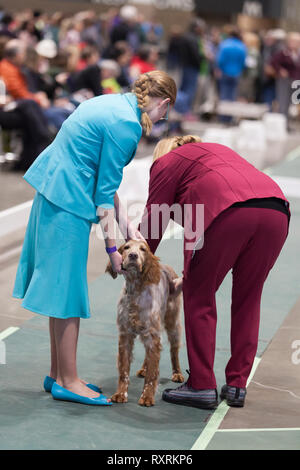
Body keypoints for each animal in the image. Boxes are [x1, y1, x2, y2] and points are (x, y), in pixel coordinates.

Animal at [106, 241, 184, 406]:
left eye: (143, 249)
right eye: (127, 247)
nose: (133, 255)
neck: (136, 291)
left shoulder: (152, 335)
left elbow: (152, 374)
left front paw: (147, 397)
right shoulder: (126, 335)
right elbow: (124, 371)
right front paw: (120, 394)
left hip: (172, 324)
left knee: (174, 351)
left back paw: (177, 373)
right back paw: (143, 369)